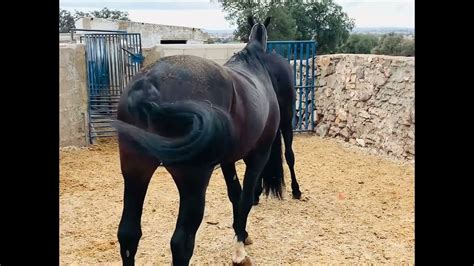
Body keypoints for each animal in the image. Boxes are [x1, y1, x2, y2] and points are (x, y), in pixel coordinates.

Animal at [113, 16, 284, 264]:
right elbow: (245, 198)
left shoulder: (227, 161)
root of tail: (149, 85)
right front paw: (240, 249)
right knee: (181, 243)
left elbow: (235, 194)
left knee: (128, 234)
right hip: (193, 181)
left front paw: (241, 234)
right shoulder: (258, 155)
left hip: (136, 171)